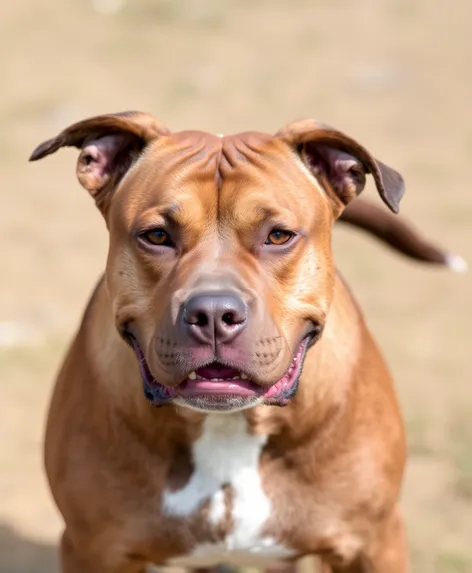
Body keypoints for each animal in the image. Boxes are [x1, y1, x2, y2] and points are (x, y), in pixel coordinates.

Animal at [29, 113, 464, 572]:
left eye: (278, 235)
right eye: (157, 236)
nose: (213, 314)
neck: (228, 427)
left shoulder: (376, 542)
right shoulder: (92, 547)